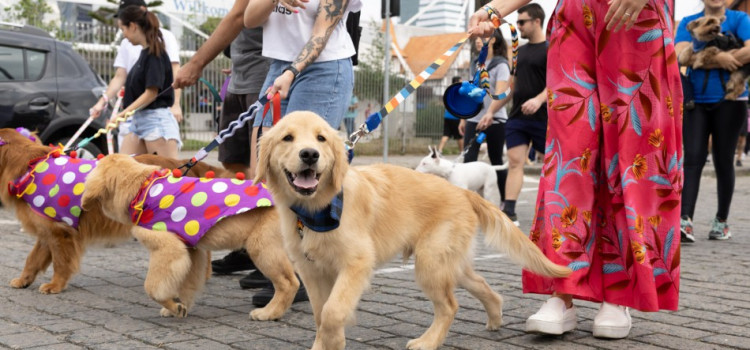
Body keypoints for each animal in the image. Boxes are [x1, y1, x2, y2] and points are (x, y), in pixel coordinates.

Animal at [0, 128, 223, 292]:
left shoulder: (60, 232)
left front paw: (55, 285)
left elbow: (60, 262)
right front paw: (24, 280)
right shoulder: (47, 232)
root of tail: (180, 163)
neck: (30, 166)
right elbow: (32, 259)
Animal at [82, 154, 300, 322]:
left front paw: (172, 305)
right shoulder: (191, 251)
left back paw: (269, 313)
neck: (142, 189)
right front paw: (179, 306)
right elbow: (187, 284)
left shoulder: (169, 249)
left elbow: (153, 287)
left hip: (262, 247)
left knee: (289, 283)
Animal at [256, 112, 572, 350]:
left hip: (430, 261)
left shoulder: (356, 263)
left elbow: (333, 312)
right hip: (449, 262)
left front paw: (334, 340)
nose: (310, 154)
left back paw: (427, 342)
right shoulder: (312, 271)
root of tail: (461, 192)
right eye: (287, 138)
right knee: (482, 285)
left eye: (321, 138)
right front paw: (325, 343)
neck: (316, 210)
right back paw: (494, 318)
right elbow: (321, 313)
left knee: (449, 306)